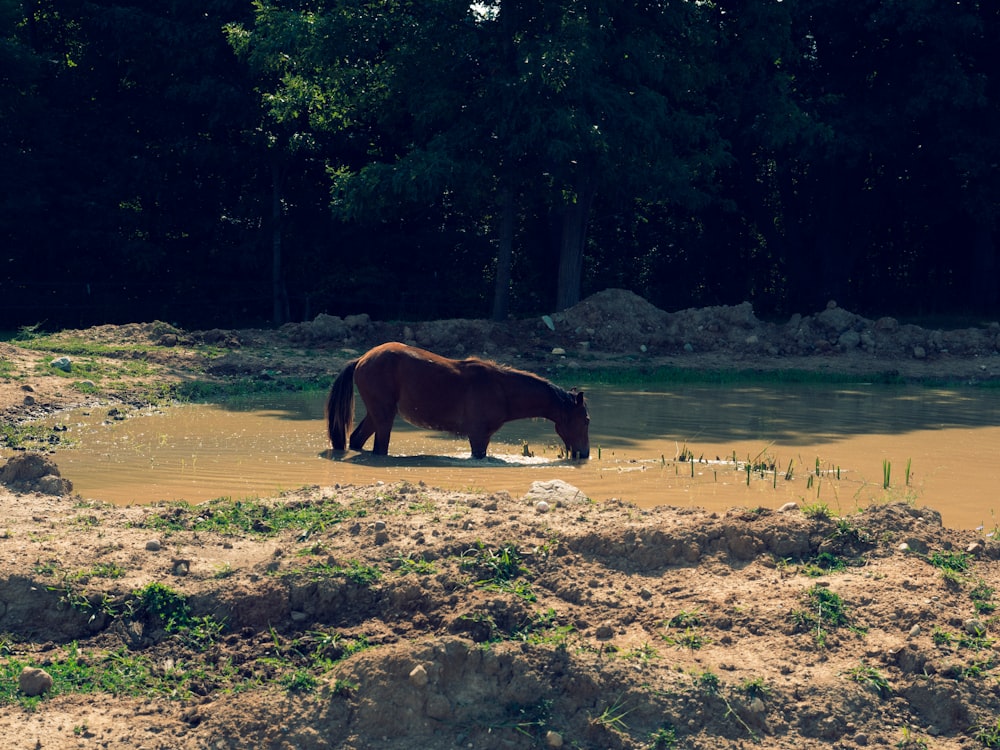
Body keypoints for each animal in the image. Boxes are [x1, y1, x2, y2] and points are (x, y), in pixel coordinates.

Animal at [328, 346, 588, 462]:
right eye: (585, 420)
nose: (585, 453)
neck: (501, 389)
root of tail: (363, 358)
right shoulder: (479, 437)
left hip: (377, 414)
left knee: (357, 439)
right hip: (383, 416)